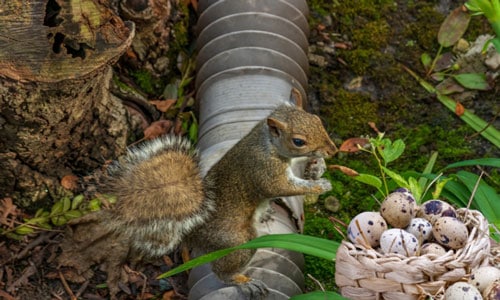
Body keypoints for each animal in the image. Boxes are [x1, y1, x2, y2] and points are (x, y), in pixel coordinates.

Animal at [59, 98, 340, 298]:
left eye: (317, 119)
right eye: (298, 141)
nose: (333, 150)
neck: (268, 144)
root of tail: (193, 230)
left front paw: (318, 167)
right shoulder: (263, 169)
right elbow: (280, 187)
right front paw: (319, 185)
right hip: (237, 239)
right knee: (222, 269)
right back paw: (243, 282)